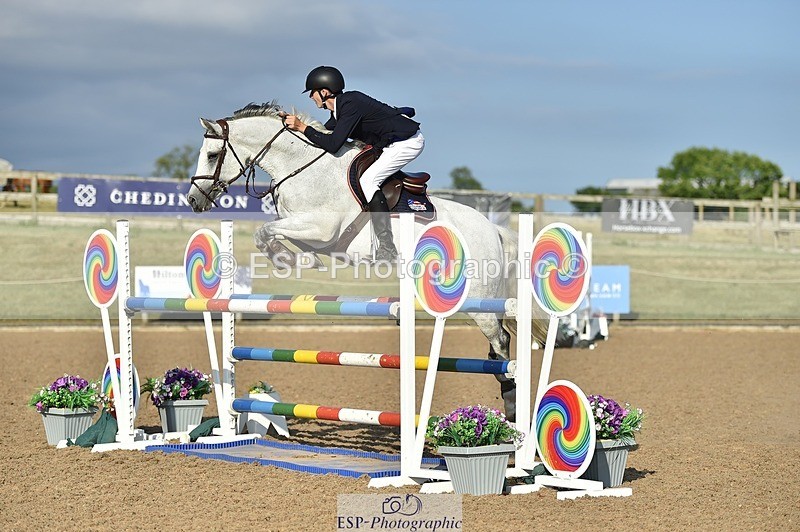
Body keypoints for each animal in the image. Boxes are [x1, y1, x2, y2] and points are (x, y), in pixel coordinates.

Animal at [186, 101, 547, 420]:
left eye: (213, 155)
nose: (192, 200)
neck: (304, 169)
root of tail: (492, 229)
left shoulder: (323, 227)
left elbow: (266, 232)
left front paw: (286, 258)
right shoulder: (311, 230)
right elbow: (277, 234)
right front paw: (300, 259)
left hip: (478, 299)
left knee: (501, 339)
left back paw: (510, 396)